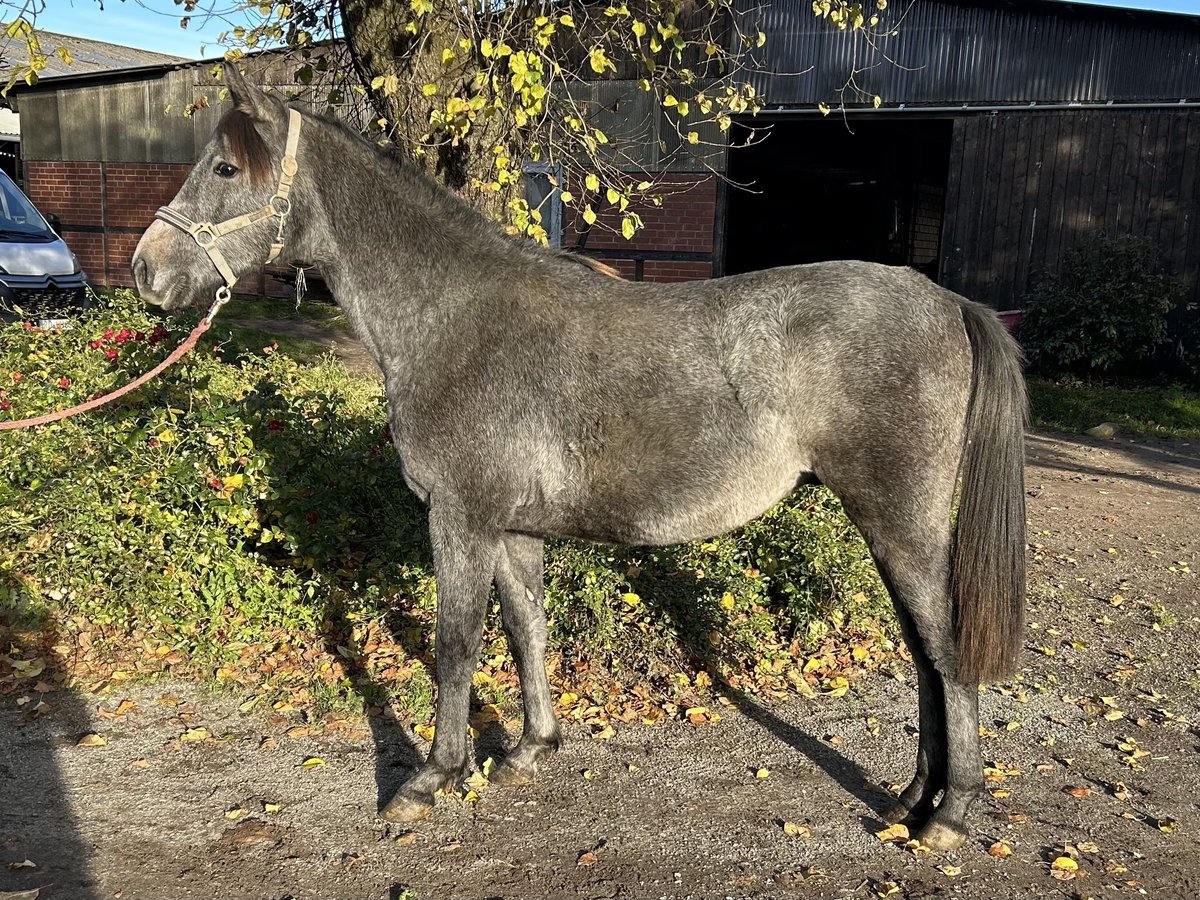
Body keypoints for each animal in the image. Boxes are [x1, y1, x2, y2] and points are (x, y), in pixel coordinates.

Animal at [132, 65, 1027, 852]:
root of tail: (947, 302)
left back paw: (948, 816)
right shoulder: (513, 529)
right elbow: (527, 626)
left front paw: (430, 780)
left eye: (223, 167)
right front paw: (531, 750)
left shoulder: (460, 518)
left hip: (899, 520)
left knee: (944, 652)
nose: (147, 270)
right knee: (924, 655)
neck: (453, 318)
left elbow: (456, 644)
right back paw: (912, 799)